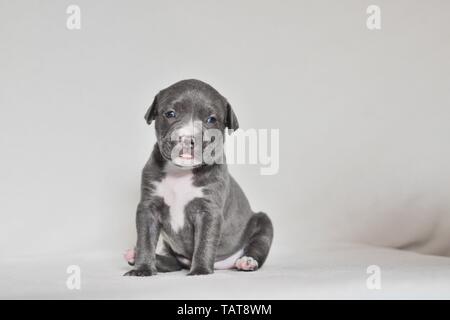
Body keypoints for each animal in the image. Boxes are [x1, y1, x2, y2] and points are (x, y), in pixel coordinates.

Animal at [124, 79, 274, 276]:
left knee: (258, 245)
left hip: (263, 222)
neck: (181, 172)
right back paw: (136, 257)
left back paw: (247, 261)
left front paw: (200, 271)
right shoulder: (148, 207)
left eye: (211, 120)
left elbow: (204, 242)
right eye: (170, 113)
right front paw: (142, 269)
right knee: (173, 263)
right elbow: (145, 240)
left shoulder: (209, 211)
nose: (188, 138)